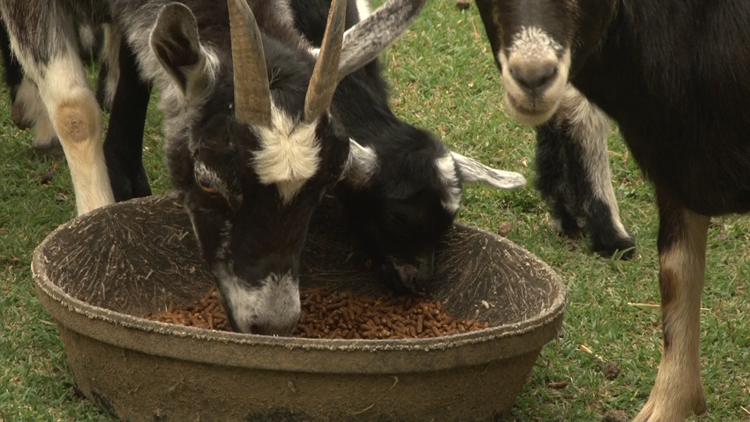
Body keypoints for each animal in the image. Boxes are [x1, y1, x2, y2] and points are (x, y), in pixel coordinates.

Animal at [1, 0, 426, 335]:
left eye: (326, 185)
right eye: (208, 182)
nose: (271, 323)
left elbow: (137, 70)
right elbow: (74, 111)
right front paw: (95, 215)